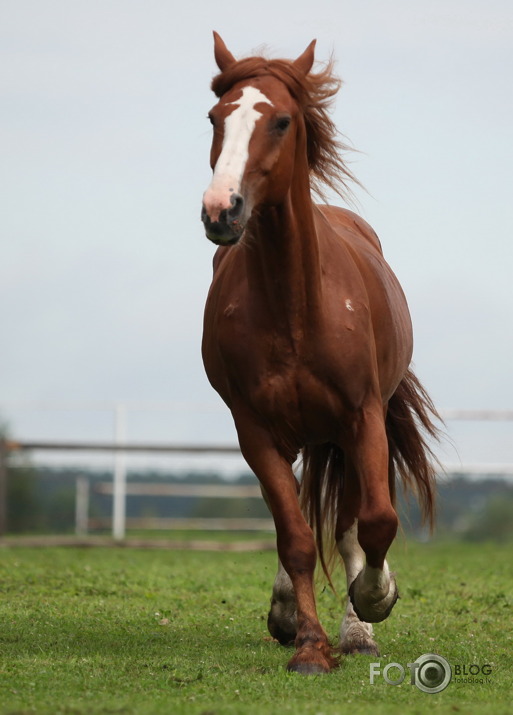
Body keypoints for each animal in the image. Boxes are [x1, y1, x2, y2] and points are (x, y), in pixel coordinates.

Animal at [200, 29, 440, 676]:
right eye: (215, 117)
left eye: (281, 120)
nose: (221, 209)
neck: (295, 303)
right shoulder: (256, 431)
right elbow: (295, 537)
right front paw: (308, 642)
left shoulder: (362, 418)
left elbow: (374, 522)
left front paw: (374, 601)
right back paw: (290, 613)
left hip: (348, 431)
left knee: (354, 520)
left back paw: (360, 627)